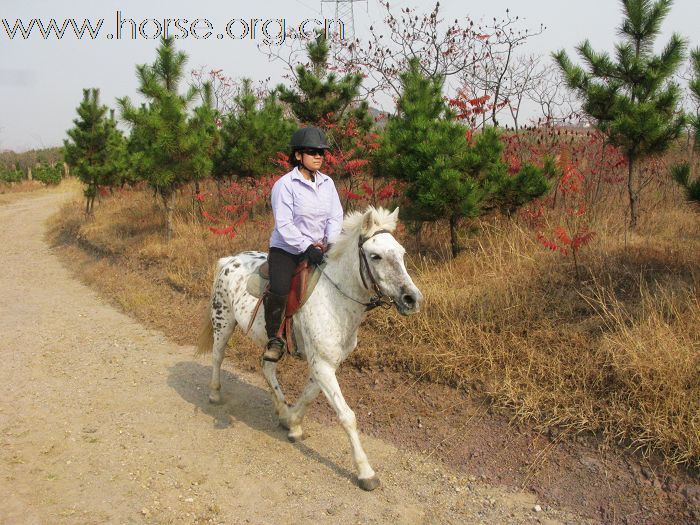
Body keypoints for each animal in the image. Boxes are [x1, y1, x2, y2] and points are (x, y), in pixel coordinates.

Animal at [200, 206, 424, 492]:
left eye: (402, 253)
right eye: (375, 256)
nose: (412, 299)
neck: (335, 299)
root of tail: (229, 260)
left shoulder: (325, 364)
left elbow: (308, 395)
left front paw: (292, 422)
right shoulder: (323, 366)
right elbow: (347, 416)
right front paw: (365, 472)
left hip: (269, 341)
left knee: (267, 366)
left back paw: (281, 409)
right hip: (223, 322)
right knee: (218, 357)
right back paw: (215, 394)